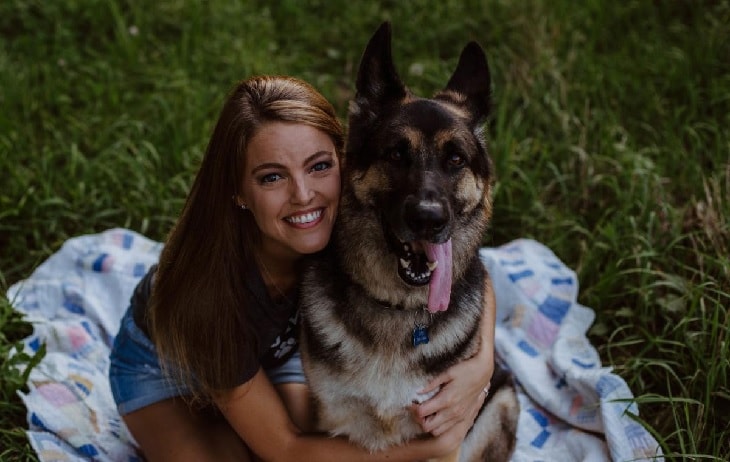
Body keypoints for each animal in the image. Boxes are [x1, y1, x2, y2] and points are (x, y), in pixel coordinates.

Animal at [298, 22, 516, 462]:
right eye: (396, 154)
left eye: (456, 159)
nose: (428, 219)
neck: (397, 309)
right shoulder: (331, 420)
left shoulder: (443, 436)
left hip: (503, 401)